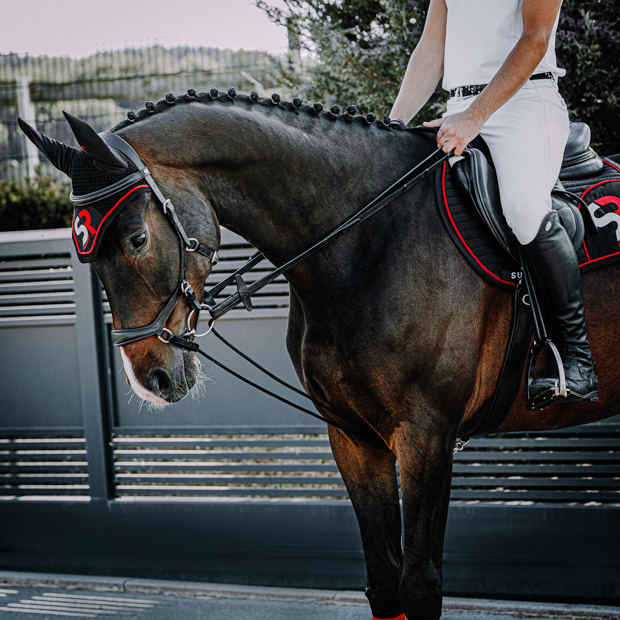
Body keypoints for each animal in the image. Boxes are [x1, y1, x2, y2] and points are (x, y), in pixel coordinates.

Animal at [19, 92, 620, 620]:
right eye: (86, 256)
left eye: (138, 239)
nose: (152, 377)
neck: (363, 240)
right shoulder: (353, 437)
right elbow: (384, 580)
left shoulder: (426, 435)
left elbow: (420, 584)